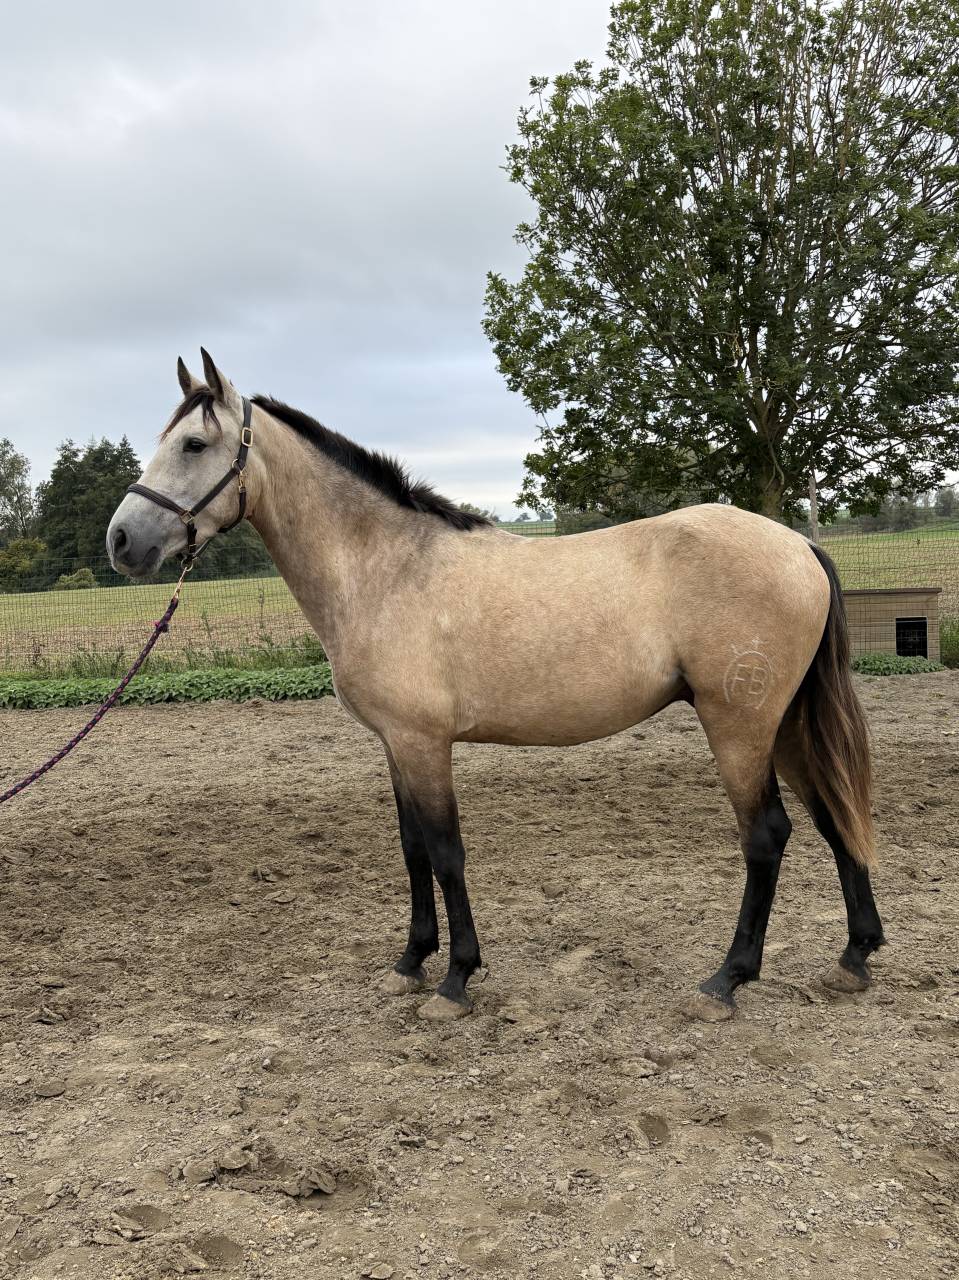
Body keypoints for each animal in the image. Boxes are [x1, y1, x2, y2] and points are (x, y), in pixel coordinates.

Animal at [106, 351, 885, 1022]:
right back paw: (854, 957)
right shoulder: (395, 744)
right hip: (784, 725)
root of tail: (796, 543)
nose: (121, 541)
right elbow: (413, 849)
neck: (386, 568)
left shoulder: (424, 743)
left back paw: (726, 980)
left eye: (194, 446)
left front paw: (455, 979)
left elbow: (446, 852)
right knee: (832, 815)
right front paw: (410, 962)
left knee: (767, 836)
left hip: (738, 727)